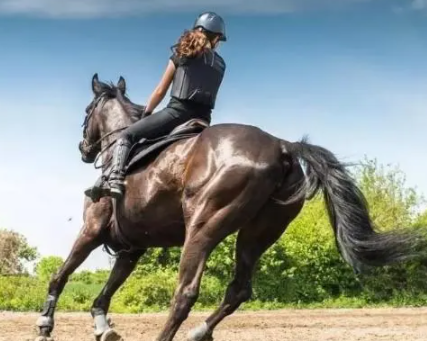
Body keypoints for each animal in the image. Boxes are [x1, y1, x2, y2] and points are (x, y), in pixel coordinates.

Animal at [34, 74, 427, 340]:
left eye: (87, 111)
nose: (84, 150)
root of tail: (282, 146)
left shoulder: (91, 231)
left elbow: (60, 275)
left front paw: (45, 324)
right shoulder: (133, 248)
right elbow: (105, 292)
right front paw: (103, 327)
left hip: (204, 226)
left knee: (186, 292)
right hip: (258, 233)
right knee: (239, 289)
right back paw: (198, 333)